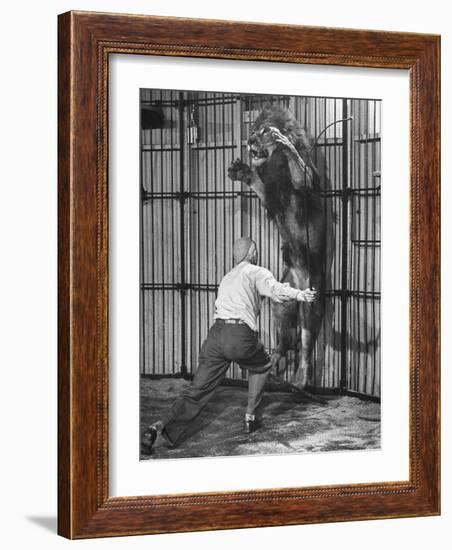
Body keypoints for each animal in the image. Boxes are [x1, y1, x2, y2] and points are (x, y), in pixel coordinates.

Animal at [230, 105, 332, 390]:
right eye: (254, 130)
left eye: (263, 132)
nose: (250, 140)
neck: (274, 164)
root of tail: (297, 280)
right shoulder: (271, 196)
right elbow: (259, 185)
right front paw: (243, 172)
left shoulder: (307, 184)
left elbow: (301, 170)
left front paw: (285, 143)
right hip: (282, 301)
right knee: (284, 339)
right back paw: (274, 361)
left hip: (310, 297)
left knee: (306, 342)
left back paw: (300, 379)